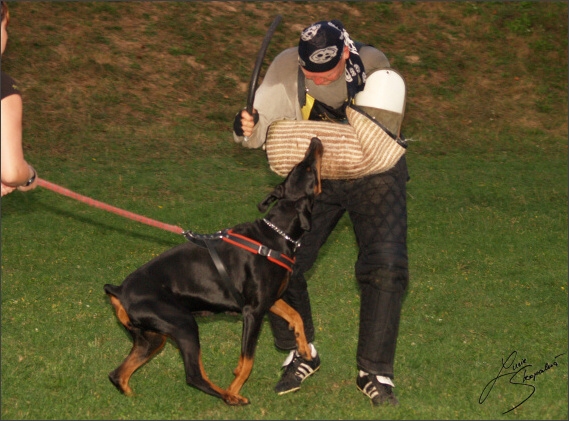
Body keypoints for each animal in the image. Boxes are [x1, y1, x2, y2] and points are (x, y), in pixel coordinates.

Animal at [103, 137, 322, 404]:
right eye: (307, 168)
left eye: (299, 167)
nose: (315, 141)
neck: (274, 236)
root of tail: (120, 290)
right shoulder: (253, 312)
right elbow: (247, 361)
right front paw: (236, 387)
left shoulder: (267, 301)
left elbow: (295, 315)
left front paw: (303, 348)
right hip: (183, 324)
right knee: (193, 375)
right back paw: (228, 397)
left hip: (152, 337)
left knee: (117, 374)